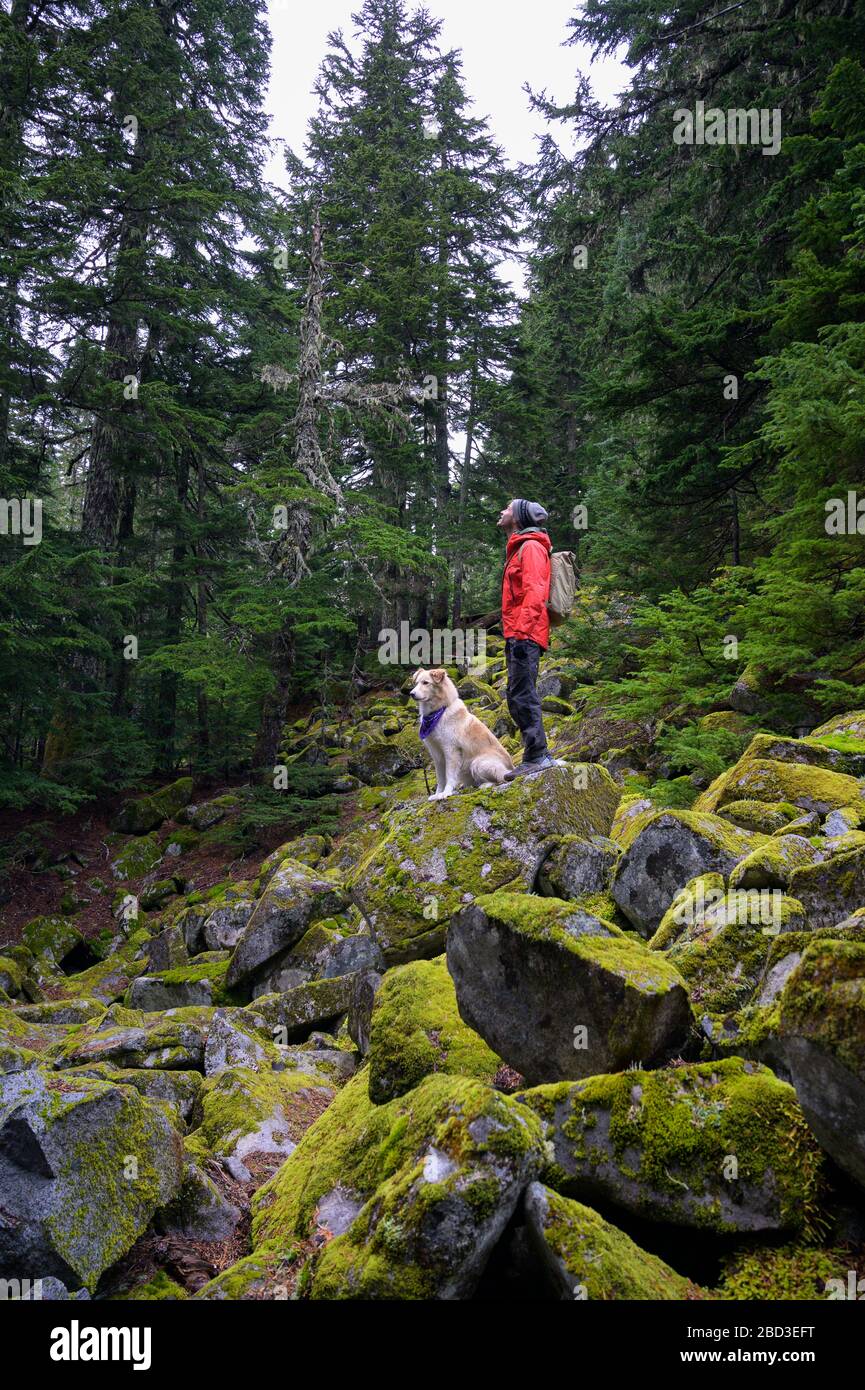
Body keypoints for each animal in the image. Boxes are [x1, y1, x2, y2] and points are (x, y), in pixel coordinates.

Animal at [408, 667, 514, 800]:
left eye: (426, 683)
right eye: (416, 683)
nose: (411, 694)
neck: (438, 712)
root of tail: (512, 769)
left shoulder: (451, 750)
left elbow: (449, 775)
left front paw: (446, 793)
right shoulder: (437, 754)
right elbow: (440, 778)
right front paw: (437, 794)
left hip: (477, 763)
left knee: (500, 779)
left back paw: (485, 785)